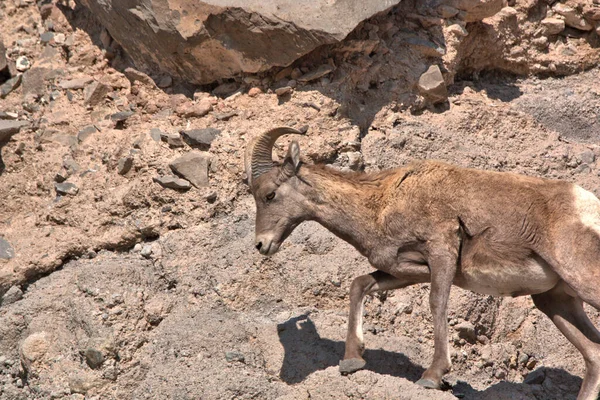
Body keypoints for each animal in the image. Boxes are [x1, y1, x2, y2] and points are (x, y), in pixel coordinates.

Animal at [246, 126, 600, 398]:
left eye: (269, 195)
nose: (262, 245)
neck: (381, 204)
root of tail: (587, 205)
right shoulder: (406, 270)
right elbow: (359, 285)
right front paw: (351, 360)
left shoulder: (441, 254)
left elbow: (436, 303)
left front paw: (432, 376)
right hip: (555, 302)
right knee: (594, 355)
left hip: (584, 284)